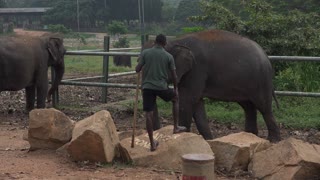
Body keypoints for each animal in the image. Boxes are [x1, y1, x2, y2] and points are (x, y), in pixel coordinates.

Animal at [150, 29, 280, 142]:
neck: (176, 41)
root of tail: (266, 57)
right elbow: (197, 104)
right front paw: (208, 140)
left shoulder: (197, 69)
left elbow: (188, 100)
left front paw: (181, 135)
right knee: (248, 107)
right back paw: (249, 136)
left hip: (261, 80)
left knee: (264, 107)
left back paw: (273, 140)